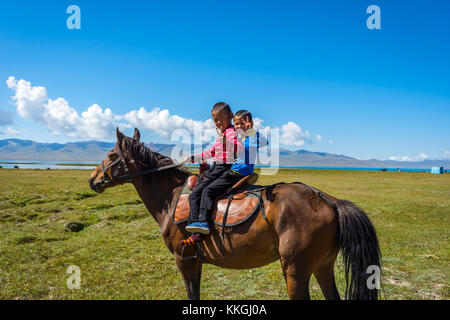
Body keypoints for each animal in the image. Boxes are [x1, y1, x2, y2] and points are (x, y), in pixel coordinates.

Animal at [89, 128, 384, 300]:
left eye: (111, 154)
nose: (93, 179)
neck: (170, 196)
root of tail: (329, 200)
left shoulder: (183, 258)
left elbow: (191, 295)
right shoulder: (195, 260)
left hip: (295, 269)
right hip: (322, 265)